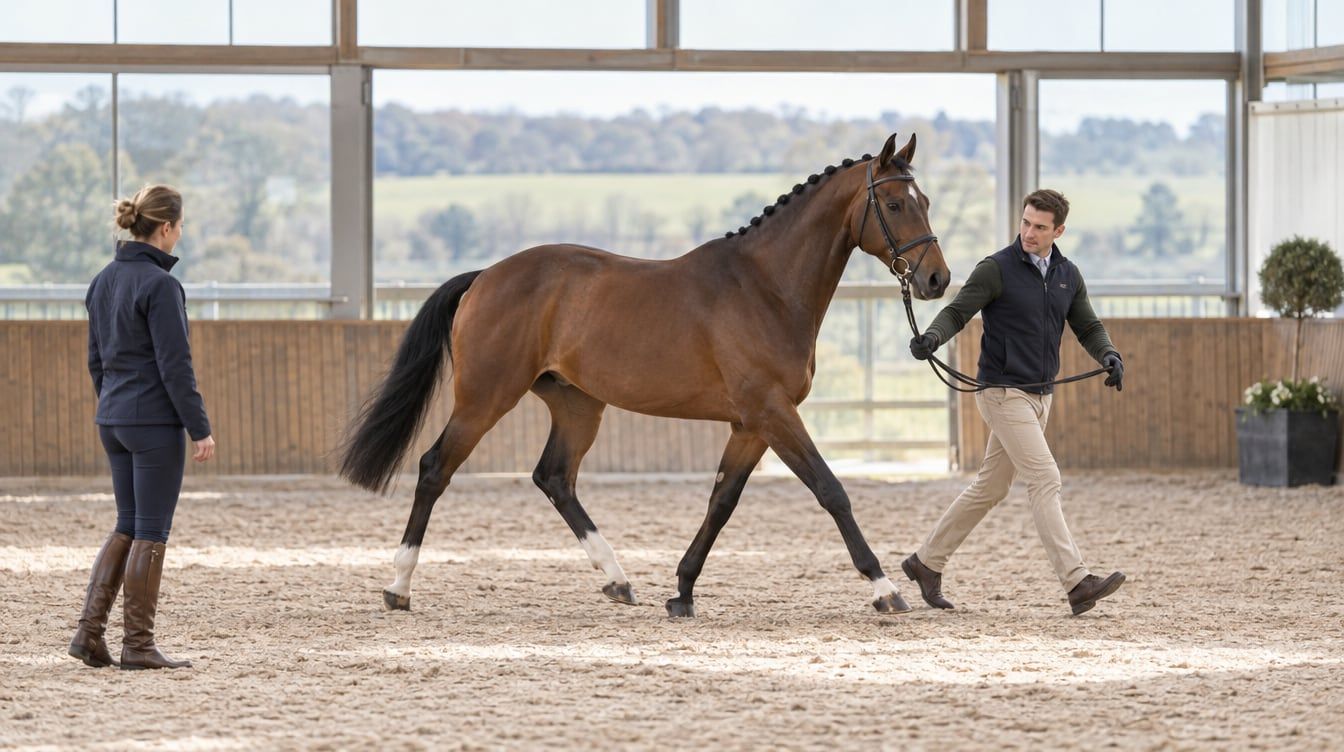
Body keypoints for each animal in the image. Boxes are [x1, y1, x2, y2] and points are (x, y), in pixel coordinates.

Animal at [339, 132, 950, 617]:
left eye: (924, 200)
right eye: (894, 203)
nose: (937, 280)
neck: (765, 287)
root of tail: (486, 276)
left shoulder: (750, 425)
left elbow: (722, 502)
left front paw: (682, 591)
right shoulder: (773, 413)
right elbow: (831, 491)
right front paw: (884, 589)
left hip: (578, 405)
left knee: (554, 478)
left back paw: (617, 580)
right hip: (484, 399)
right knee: (434, 469)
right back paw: (398, 588)